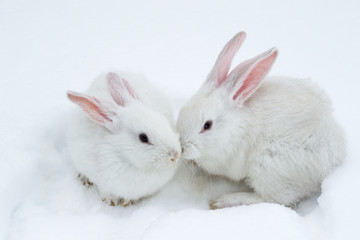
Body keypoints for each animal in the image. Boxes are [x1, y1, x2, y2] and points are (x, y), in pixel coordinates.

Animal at [177, 32, 346, 210]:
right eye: (182, 111)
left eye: (207, 125)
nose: (182, 147)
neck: (233, 128)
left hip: (270, 169)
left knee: (274, 199)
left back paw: (226, 200)